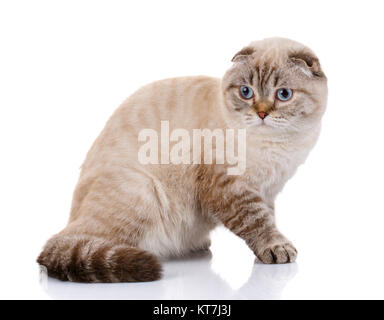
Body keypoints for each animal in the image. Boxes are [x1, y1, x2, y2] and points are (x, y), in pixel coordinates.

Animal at [37, 38, 328, 282]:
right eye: (246, 92)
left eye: (283, 94)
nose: (262, 114)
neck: (277, 145)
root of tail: (71, 219)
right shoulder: (230, 187)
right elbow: (256, 221)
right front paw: (276, 247)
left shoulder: (267, 190)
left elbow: (268, 217)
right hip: (143, 190)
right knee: (76, 243)